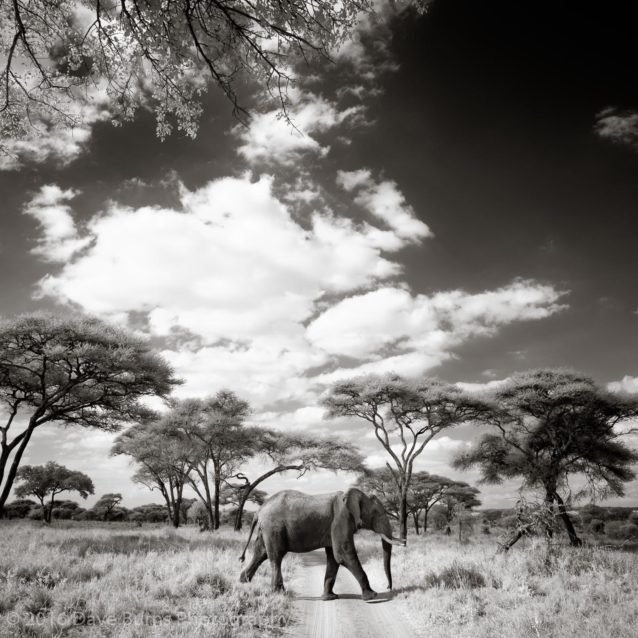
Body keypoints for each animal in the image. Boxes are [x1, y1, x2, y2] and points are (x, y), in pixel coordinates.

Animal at [240, 492, 404, 604]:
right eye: (376, 513)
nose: (388, 587)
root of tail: (259, 510)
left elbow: (334, 558)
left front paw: (329, 597)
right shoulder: (341, 519)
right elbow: (343, 554)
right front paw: (372, 596)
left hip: (267, 529)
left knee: (261, 553)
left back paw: (243, 582)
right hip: (273, 528)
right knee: (275, 557)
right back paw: (279, 593)